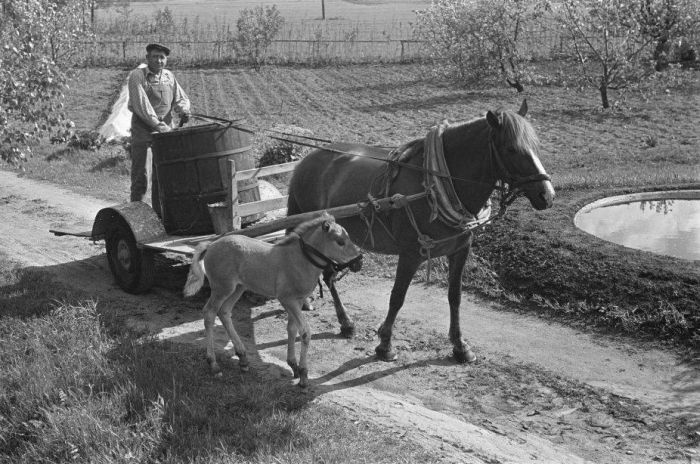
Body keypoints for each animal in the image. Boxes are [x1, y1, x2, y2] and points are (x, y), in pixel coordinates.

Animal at [183, 212, 364, 386]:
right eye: (340, 242)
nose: (359, 262)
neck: (300, 260)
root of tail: (211, 245)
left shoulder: (298, 300)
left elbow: (292, 329)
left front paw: (294, 366)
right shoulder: (287, 299)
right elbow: (305, 332)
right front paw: (303, 376)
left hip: (237, 288)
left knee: (224, 312)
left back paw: (242, 358)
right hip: (222, 288)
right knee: (209, 313)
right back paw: (214, 365)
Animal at [288, 100, 556, 362]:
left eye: (536, 146)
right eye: (511, 149)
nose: (548, 195)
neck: (435, 186)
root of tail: (308, 159)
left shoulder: (461, 250)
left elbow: (455, 296)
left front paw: (460, 346)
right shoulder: (410, 254)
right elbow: (397, 297)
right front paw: (385, 344)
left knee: (326, 274)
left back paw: (337, 319)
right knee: (325, 274)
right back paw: (342, 320)